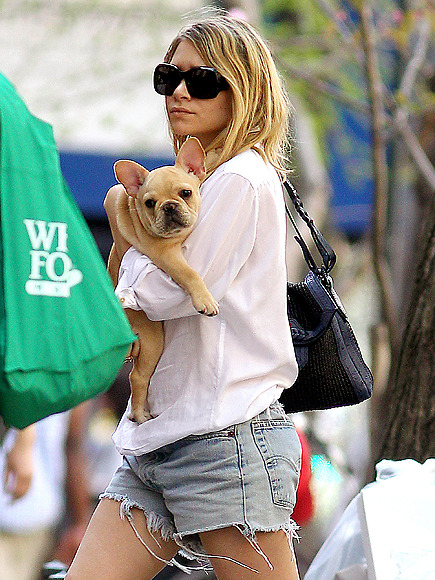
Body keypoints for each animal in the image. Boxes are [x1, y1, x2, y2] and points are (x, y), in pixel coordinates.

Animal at [105, 138, 220, 424]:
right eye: (149, 203)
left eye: (186, 193)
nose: (168, 206)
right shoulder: (165, 254)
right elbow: (190, 274)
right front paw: (205, 300)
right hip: (153, 339)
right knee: (137, 377)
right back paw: (139, 415)